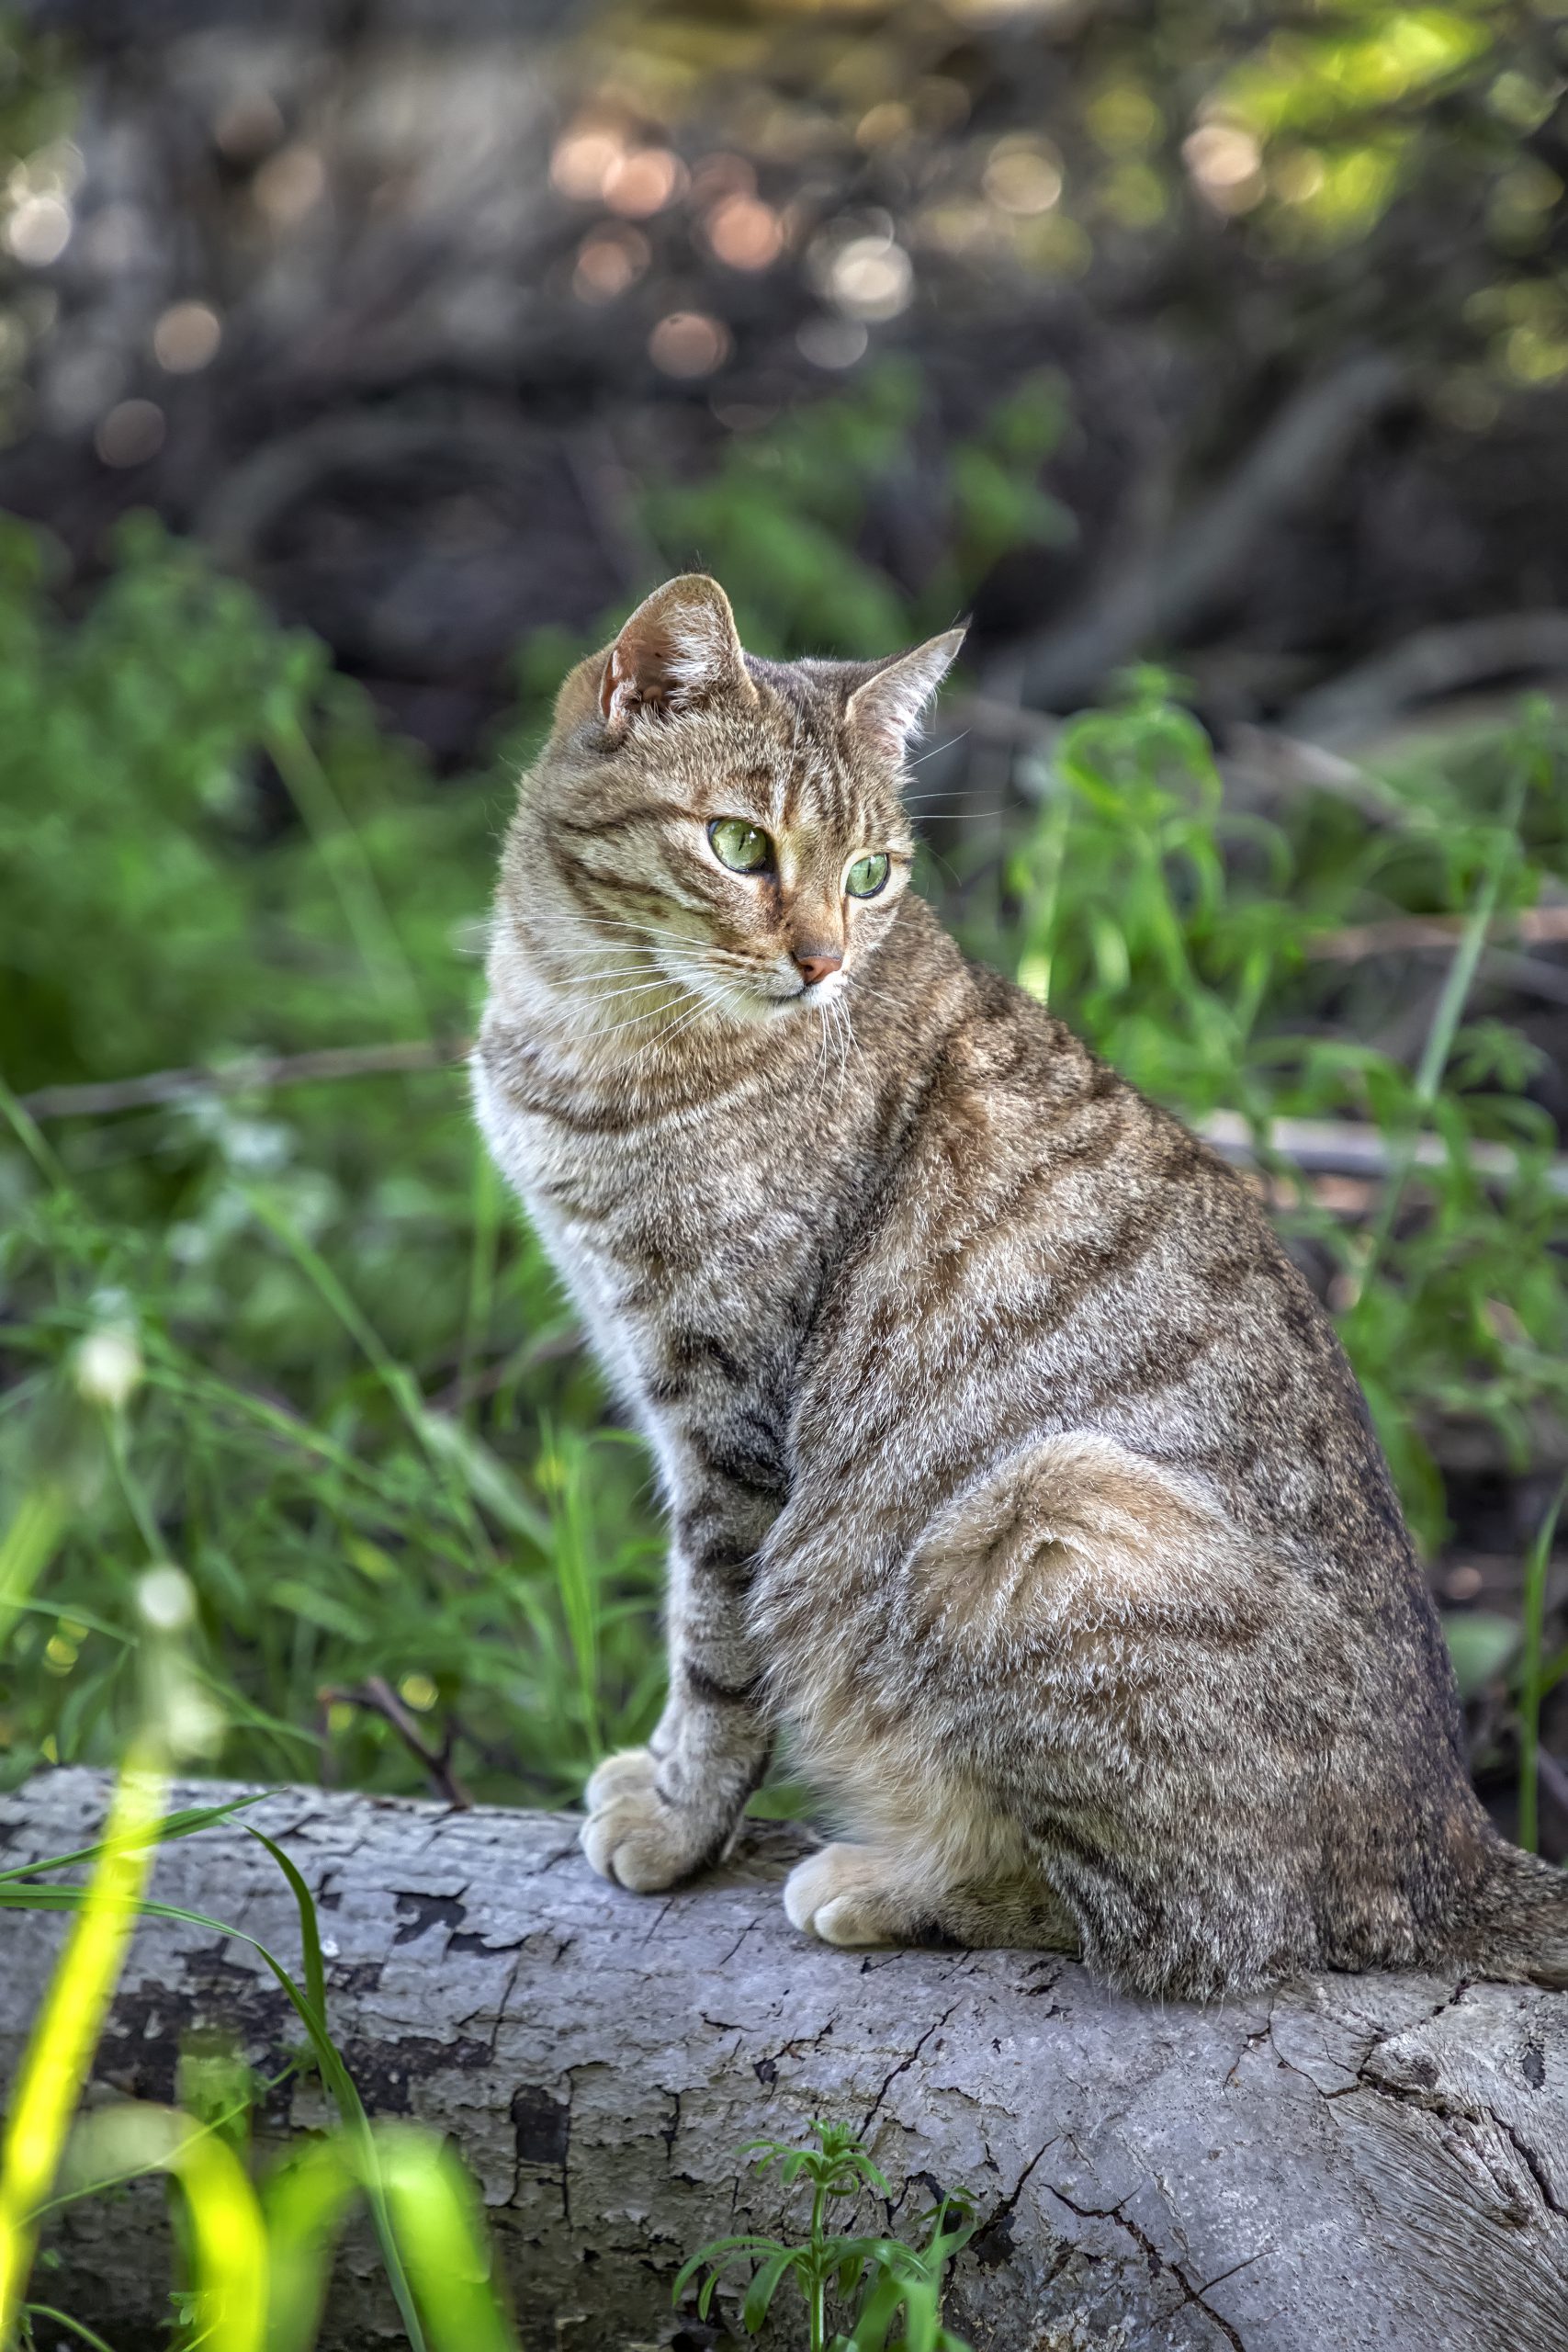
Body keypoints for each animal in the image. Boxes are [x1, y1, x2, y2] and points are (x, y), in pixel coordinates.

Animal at [474, 569, 1568, 1984]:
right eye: (738, 847)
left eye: (868, 875)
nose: (821, 961)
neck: (581, 1020)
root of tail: (1451, 1846)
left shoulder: (729, 1422)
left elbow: (714, 1652)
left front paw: (678, 1820)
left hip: (1040, 1516)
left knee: (1167, 1923)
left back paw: (892, 1880)